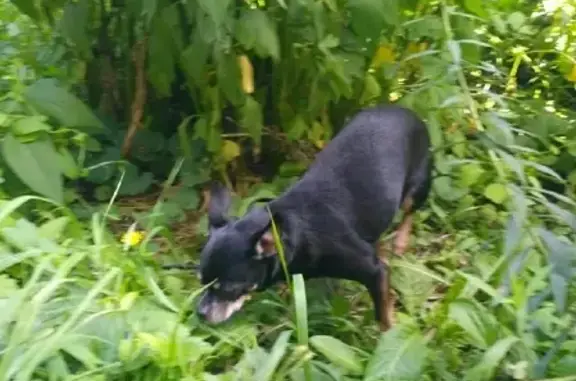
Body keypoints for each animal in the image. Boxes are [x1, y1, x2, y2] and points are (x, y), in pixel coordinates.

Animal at [197, 104, 432, 330]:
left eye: (229, 289)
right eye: (201, 282)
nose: (200, 313)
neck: (294, 232)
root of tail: (405, 111)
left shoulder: (375, 272)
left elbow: (383, 315)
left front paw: (388, 334)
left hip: (417, 187)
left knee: (409, 212)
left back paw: (400, 242)